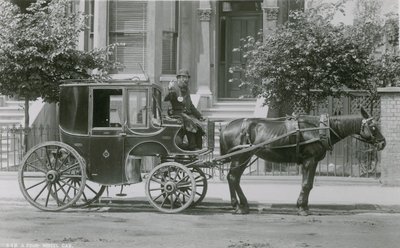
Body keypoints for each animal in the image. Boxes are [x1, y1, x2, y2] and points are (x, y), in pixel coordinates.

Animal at [220, 108, 386, 215]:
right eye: (373, 127)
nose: (383, 143)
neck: (320, 129)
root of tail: (227, 126)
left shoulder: (313, 161)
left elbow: (309, 184)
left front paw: (303, 205)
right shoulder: (309, 160)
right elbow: (306, 184)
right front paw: (302, 208)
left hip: (244, 157)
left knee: (233, 178)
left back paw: (241, 205)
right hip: (240, 157)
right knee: (233, 177)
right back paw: (239, 206)